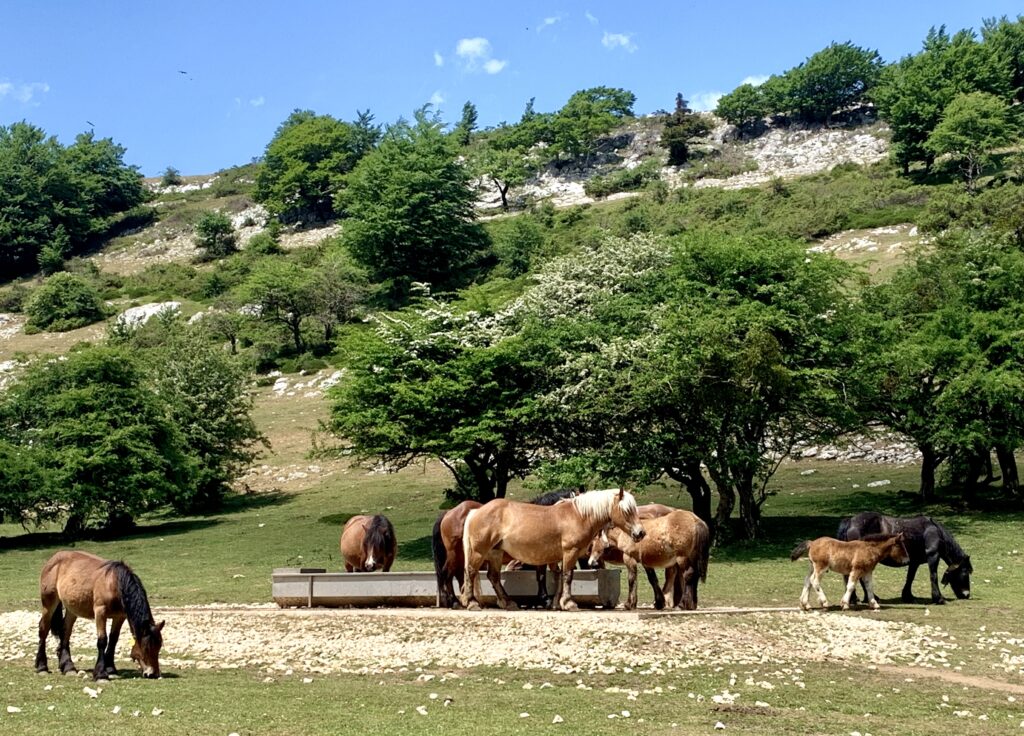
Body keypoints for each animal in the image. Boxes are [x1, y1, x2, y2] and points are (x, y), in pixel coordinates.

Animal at [35, 548, 162, 683]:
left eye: (159, 646)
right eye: (146, 648)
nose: (153, 673)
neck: (114, 584)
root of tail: (53, 559)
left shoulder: (120, 617)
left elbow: (113, 640)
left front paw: (111, 669)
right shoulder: (100, 612)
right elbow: (102, 640)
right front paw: (101, 674)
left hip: (72, 609)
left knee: (65, 632)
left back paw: (68, 667)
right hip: (49, 604)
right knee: (43, 629)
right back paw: (42, 667)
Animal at [460, 489, 643, 610]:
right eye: (626, 510)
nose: (640, 533)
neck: (578, 516)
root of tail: (476, 511)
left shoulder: (563, 556)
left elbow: (560, 577)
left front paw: (557, 603)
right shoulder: (570, 552)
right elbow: (567, 576)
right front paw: (568, 603)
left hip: (495, 553)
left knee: (494, 576)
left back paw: (508, 602)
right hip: (479, 552)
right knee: (471, 572)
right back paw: (472, 603)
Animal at [835, 511, 970, 605]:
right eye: (965, 572)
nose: (967, 595)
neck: (934, 530)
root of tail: (850, 521)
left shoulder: (914, 562)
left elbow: (910, 577)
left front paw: (908, 596)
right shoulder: (933, 556)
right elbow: (933, 576)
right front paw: (939, 599)